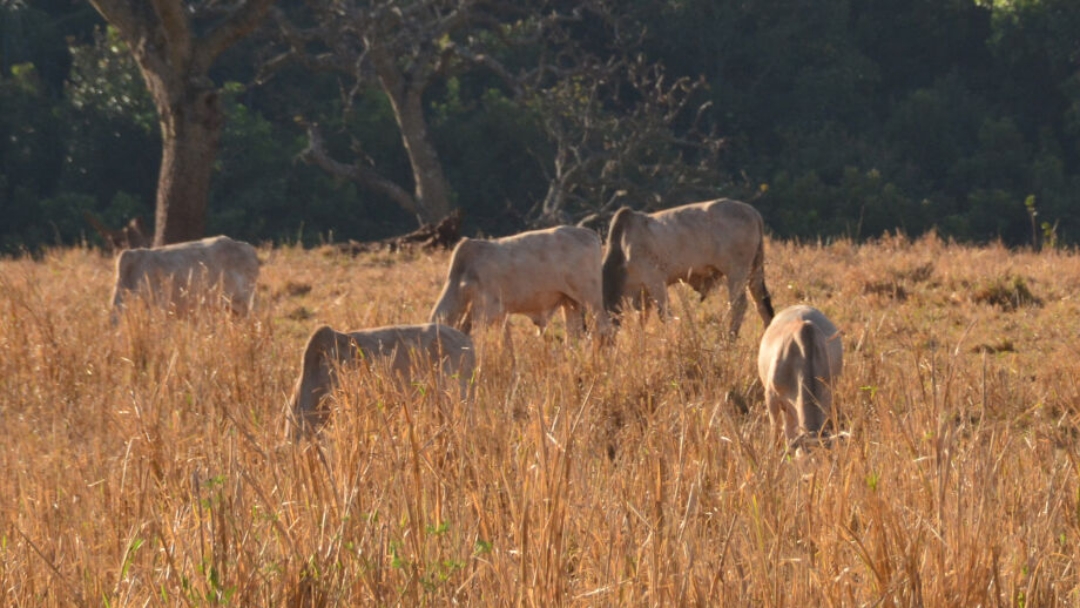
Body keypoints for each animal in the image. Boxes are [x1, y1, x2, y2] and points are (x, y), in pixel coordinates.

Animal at [604, 200, 773, 341]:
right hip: (754, 273)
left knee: (738, 305)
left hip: (736, 272)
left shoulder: (656, 281)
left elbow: (665, 315)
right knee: (762, 305)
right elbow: (642, 321)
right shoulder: (644, 293)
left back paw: (726, 340)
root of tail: (753, 213)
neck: (622, 249)